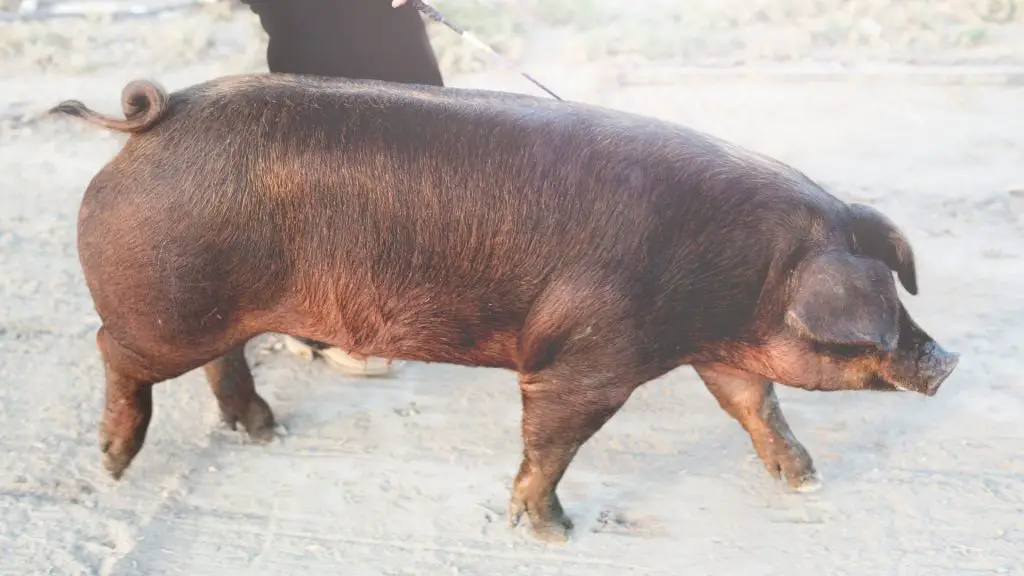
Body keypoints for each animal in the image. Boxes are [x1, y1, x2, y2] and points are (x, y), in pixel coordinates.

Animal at [49, 72, 958, 541]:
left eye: (901, 296)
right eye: (881, 316)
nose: (947, 359)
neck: (743, 284)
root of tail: (158, 114)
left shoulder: (716, 350)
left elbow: (755, 405)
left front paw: (805, 482)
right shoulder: (587, 359)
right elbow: (553, 440)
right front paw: (553, 532)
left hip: (206, 305)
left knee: (218, 357)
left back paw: (265, 432)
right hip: (162, 305)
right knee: (111, 350)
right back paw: (113, 463)